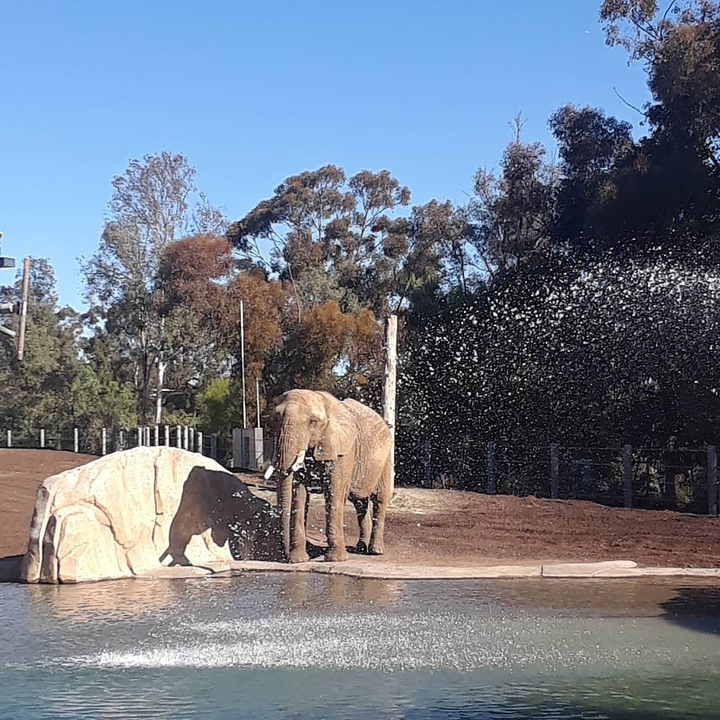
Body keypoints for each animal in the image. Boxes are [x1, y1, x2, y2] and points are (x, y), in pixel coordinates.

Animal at [266, 389, 393, 564]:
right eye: (275, 419)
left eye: (312, 421)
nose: (285, 557)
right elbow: (299, 493)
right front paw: (298, 560)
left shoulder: (343, 449)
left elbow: (335, 492)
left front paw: (336, 559)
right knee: (359, 502)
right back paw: (361, 549)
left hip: (386, 459)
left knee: (379, 498)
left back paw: (376, 551)